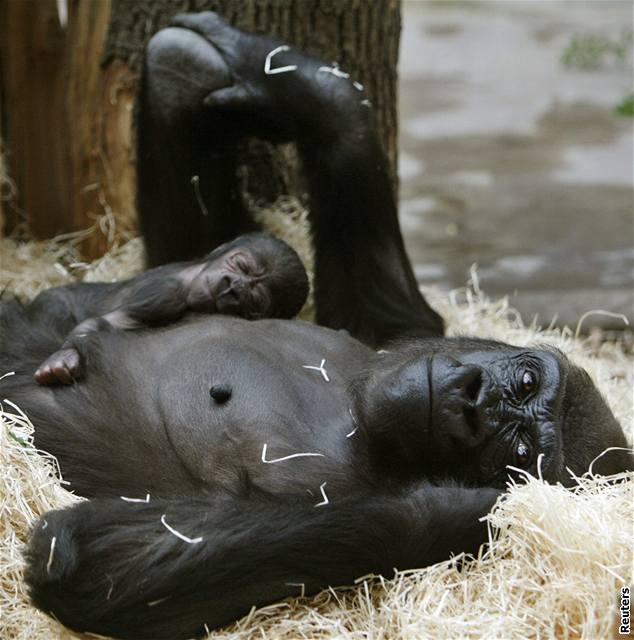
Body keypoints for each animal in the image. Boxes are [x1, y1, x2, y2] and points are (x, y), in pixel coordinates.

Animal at [33, 234, 308, 384]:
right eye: (241, 265)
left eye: (255, 298)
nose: (234, 286)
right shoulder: (164, 293)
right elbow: (112, 321)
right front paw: (64, 357)